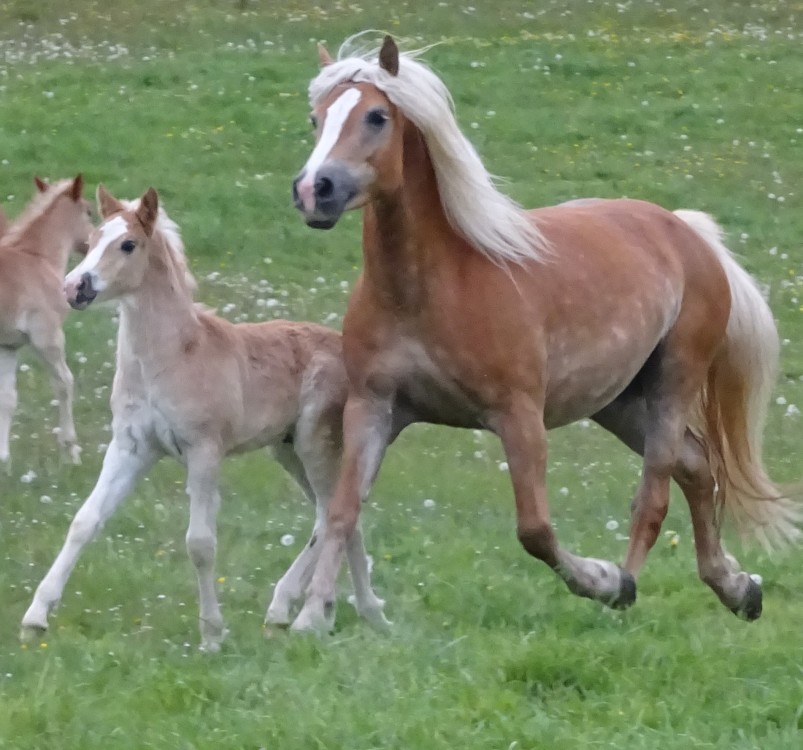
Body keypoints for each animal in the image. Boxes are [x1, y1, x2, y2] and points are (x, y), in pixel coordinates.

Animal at [0, 178, 92, 468]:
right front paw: (71, 450)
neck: (37, 258)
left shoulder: (8, 346)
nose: (90, 247)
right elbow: (64, 383)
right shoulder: (47, 337)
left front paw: (3, 459)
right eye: (89, 212)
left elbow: (7, 398)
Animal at [23, 187, 388, 652]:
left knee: (333, 513)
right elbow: (84, 521)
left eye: (128, 245)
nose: (74, 287)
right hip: (286, 450)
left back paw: (313, 610)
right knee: (339, 515)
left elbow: (200, 543)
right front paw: (35, 617)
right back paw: (352, 612)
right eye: (90, 241)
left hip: (315, 444)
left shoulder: (203, 451)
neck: (172, 356)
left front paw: (212, 634)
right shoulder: (130, 446)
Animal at [286, 35, 800, 636]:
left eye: (376, 116)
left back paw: (624, 583)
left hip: (674, 381)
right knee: (696, 468)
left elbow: (534, 529)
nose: (314, 190)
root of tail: (688, 233)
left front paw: (599, 579)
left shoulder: (519, 416)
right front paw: (311, 618)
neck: (429, 291)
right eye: (316, 118)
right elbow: (341, 511)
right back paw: (737, 588)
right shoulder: (374, 408)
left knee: (654, 495)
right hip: (618, 401)